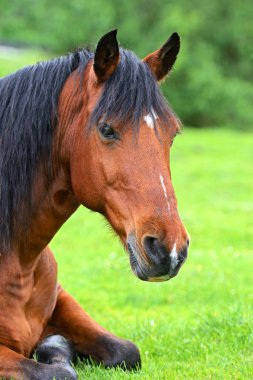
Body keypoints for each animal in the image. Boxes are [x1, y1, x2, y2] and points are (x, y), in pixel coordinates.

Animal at [0, 30, 189, 380]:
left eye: (172, 133)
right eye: (107, 129)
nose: (169, 249)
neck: (20, 262)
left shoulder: (62, 299)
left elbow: (126, 351)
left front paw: (55, 345)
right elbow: (58, 373)